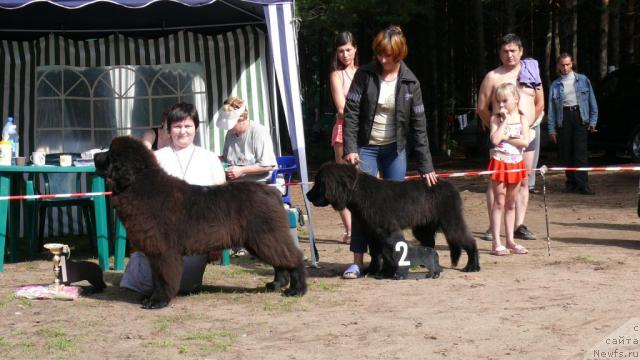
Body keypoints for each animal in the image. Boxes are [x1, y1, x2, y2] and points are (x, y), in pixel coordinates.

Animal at [92, 136, 308, 308]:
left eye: (110, 154)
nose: (94, 157)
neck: (139, 185)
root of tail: (272, 191)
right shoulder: (155, 253)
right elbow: (157, 278)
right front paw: (153, 297)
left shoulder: (164, 252)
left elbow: (163, 278)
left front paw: (158, 301)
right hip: (260, 240)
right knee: (280, 261)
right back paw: (276, 284)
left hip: (265, 236)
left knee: (293, 257)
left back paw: (297, 290)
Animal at [306, 163, 480, 278]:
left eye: (319, 183)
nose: (307, 195)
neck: (358, 192)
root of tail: (452, 186)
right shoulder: (372, 232)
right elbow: (375, 254)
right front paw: (373, 271)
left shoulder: (386, 230)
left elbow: (388, 252)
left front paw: (387, 272)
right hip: (423, 227)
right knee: (430, 244)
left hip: (451, 221)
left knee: (468, 241)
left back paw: (472, 266)